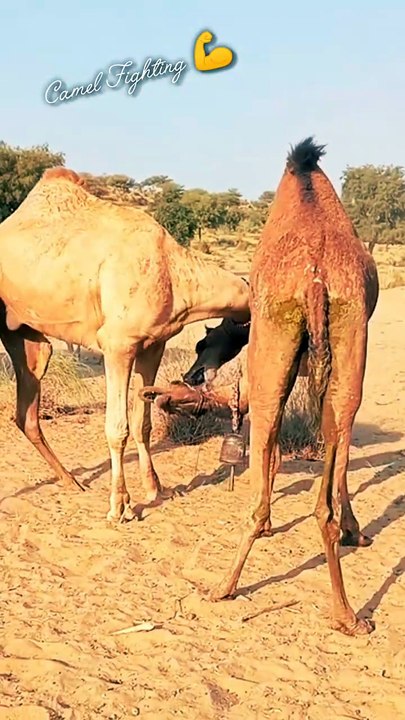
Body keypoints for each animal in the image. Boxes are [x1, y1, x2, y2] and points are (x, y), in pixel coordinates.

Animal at [0, 167, 249, 521]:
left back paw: (72, 482)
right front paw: (120, 506)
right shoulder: (117, 344)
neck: (174, 272)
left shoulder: (153, 344)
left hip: (26, 335)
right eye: (201, 344)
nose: (192, 375)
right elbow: (117, 428)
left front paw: (156, 489)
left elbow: (142, 422)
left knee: (27, 408)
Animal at [142, 137, 380, 635]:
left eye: (202, 341)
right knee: (331, 461)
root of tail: (315, 280)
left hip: (278, 333)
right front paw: (356, 532)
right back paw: (348, 614)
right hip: (347, 344)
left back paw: (223, 585)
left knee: (264, 436)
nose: (188, 376)